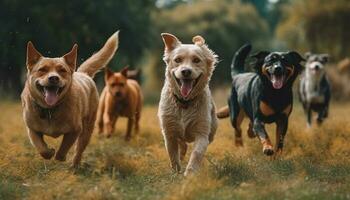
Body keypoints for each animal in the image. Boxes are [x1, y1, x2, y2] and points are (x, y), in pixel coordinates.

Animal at [21, 31, 119, 166]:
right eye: (42, 69)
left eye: (62, 70)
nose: (53, 78)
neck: (50, 110)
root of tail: (83, 73)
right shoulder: (32, 129)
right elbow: (41, 147)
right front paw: (49, 152)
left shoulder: (75, 130)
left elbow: (65, 147)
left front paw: (60, 157)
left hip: (87, 129)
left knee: (79, 149)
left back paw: (75, 165)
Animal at [157, 33, 217, 177]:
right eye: (178, 60)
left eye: (196, 60)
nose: (186, 71)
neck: (185, 102)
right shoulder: (169, 131)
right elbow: (173, 154)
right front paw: (176, 172)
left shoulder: (202, 133)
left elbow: (197, 154)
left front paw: (190, 173)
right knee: (182, 143)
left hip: (212, 129)